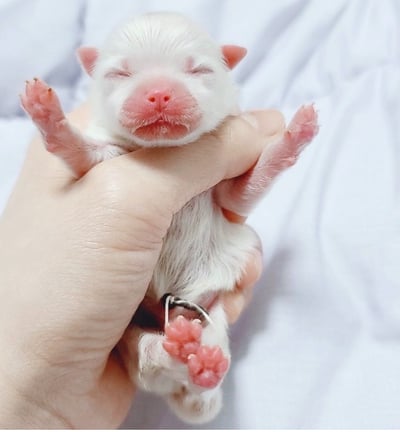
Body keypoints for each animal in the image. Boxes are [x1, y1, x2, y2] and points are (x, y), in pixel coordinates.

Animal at [20, 11, 318, 424]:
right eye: (120, 73)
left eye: (199, 69)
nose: (159, 93)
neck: (164, 149)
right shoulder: (103, 159)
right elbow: (80, 152)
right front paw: (49, 116)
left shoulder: (226, 196)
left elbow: (249, 185)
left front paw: (294, 135)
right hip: (129, 334)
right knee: (148, 361)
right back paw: (177, 353)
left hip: (216, 314)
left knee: (202, 374)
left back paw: (202, 366)